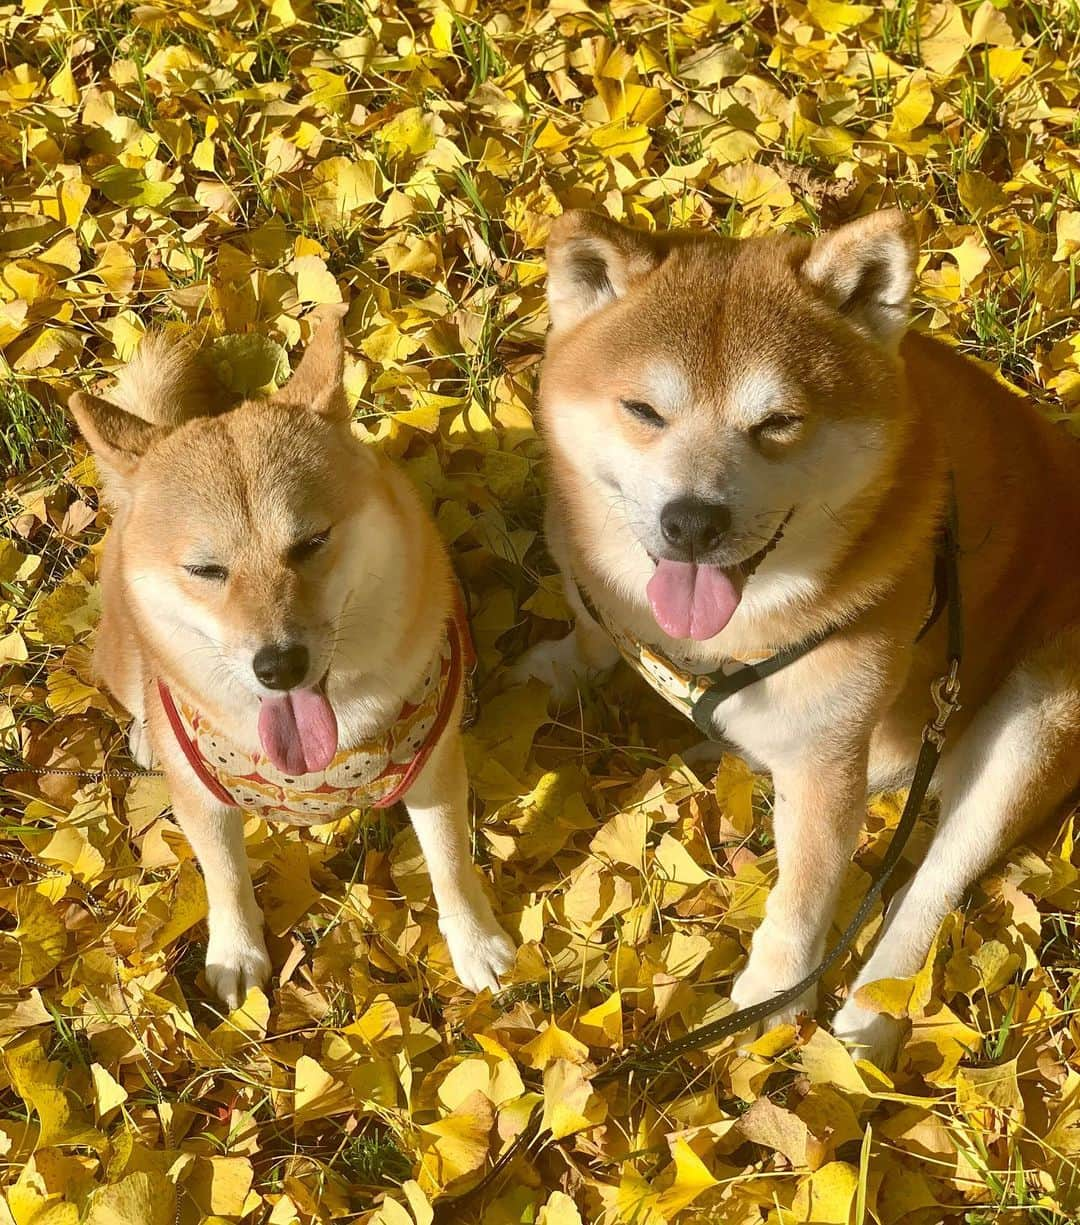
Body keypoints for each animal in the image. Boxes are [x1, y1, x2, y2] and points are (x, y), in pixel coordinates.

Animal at [69, 313, 516, 1004]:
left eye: (311, 543)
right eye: (207, 571)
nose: (279, 667)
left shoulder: (435, 770)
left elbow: (450, 862)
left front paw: (474, 941)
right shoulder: (205, 804)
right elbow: (225, 877)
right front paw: (236, 952)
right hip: (121, 655)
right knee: (140, 693)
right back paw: (146, 731)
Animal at [516, 208, 1077, 1063]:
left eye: (778, 422)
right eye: (643, 411)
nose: (692, 520)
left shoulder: (825, 756)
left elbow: (806, 890)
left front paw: (774, 992)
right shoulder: (584, 566)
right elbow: (588, 625)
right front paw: (557, 664)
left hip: (1035, 715)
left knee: (929, 884)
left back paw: (875, 1006)